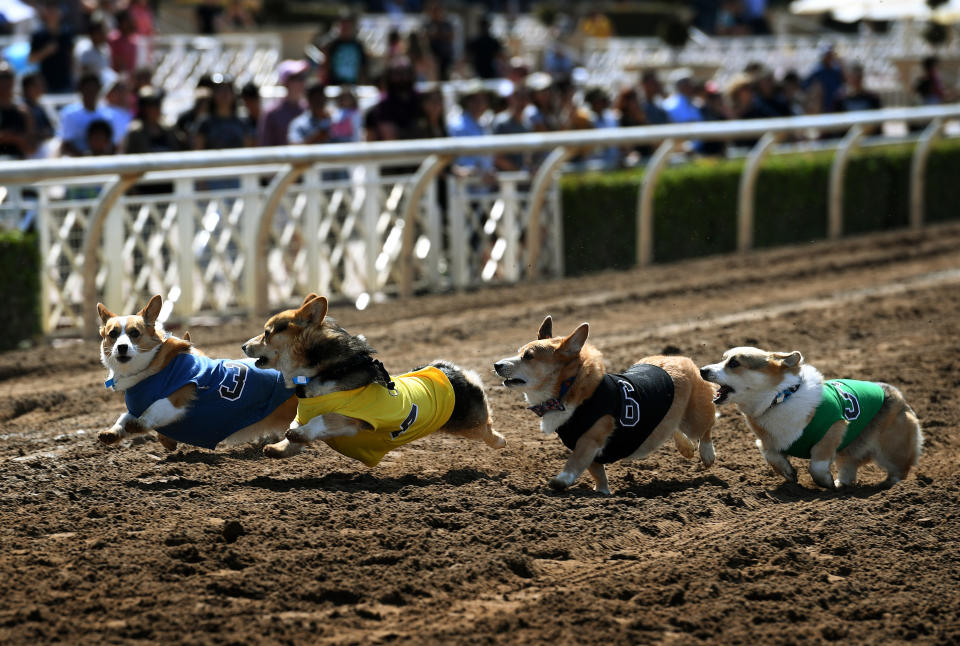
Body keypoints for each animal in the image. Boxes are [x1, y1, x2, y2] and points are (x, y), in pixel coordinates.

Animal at [98, 296, 296, 454]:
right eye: (112, 334)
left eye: (134, 333)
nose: (121, 347)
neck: (150, 368)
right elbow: (124, 417)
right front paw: (113, 432)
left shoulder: (178, 397)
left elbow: (154, 408)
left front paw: (138, 424)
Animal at [244, 294, 506, 466]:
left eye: (267, 333)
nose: (243, 346)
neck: (324, 371)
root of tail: (450, 371)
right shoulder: (304, 415)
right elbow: (295, 433)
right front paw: (276, 448)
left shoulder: (354, 418)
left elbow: (323, 419)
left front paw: (296, 434)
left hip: (470, 424)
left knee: (487, 427)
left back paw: (500, 441)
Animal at [496, 318, 712, 496]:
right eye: (519, 352)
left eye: (528, 356)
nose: (496, 365)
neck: (567, 388)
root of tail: (679, 358)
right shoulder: (590, 452)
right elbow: (598, 473)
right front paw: (602, 492)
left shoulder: (589, 439)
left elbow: (575, 461)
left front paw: (561, 480)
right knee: (673, 427)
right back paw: (686, 448)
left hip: (695, 418)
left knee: (707, 427)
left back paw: (707, 454)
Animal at [696, 346, 924, 488]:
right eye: (723, 358)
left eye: (734, 363)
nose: (702, 370)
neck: (779, 398)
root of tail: (899, 396)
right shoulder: (766, 442)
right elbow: (771, 455)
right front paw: (789, 473)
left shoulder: (833, 429)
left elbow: (817, 464)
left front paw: (824, 482)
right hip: (849, 453)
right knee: (848, 470)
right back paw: (842, 486)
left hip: (891, 450)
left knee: (900, 470)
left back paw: (892, 487)